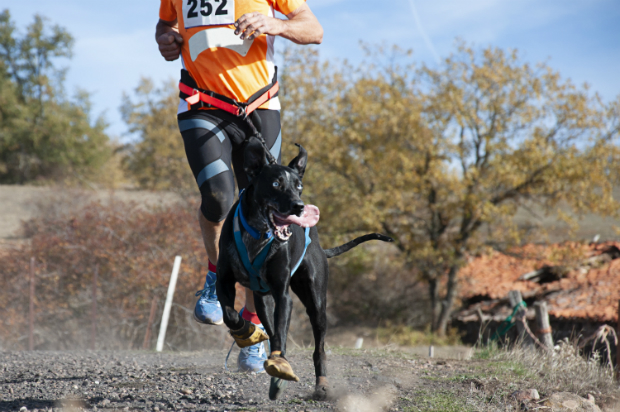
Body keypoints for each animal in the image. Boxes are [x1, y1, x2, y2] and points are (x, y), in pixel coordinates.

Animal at [217, 138, 392, 400]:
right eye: (276, 183)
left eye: (298, 185)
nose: (299, 207)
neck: (258, 234)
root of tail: (319, 245)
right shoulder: (224, 281)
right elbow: (231, 315)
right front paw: (247, 332)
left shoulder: (283, 295)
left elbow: (280, 333)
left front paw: (279, 363)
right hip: (263, 298)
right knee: (268, 324)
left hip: (316, 303)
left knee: (319, 347)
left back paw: (322, 384)